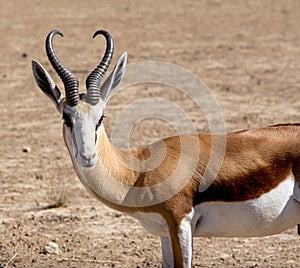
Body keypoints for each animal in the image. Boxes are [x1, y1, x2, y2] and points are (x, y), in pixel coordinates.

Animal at [32, 29, 300, 268]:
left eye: (101, 117)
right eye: (66, 117)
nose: (87, 156)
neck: (137, 172)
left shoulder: (179, 222)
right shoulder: (163, 232)